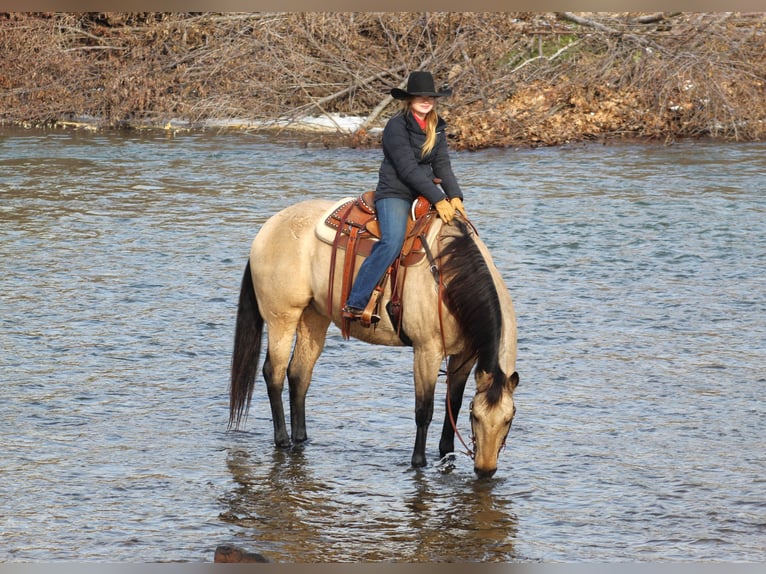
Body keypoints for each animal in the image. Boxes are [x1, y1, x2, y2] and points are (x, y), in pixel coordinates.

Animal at [225, 196, 520, 480]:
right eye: (476, 417)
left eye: (509, 419)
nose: (485, 470)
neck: (448, 275)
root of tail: (268, 228)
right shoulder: (427, 351)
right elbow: (424, 410)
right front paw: (418, 462)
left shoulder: (464, 356)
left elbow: (453, 405)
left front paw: (446, 454)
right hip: (282, 318)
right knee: (273, 373)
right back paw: (283, 440)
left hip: (313, 317)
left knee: (298, 374)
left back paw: (301, 438)